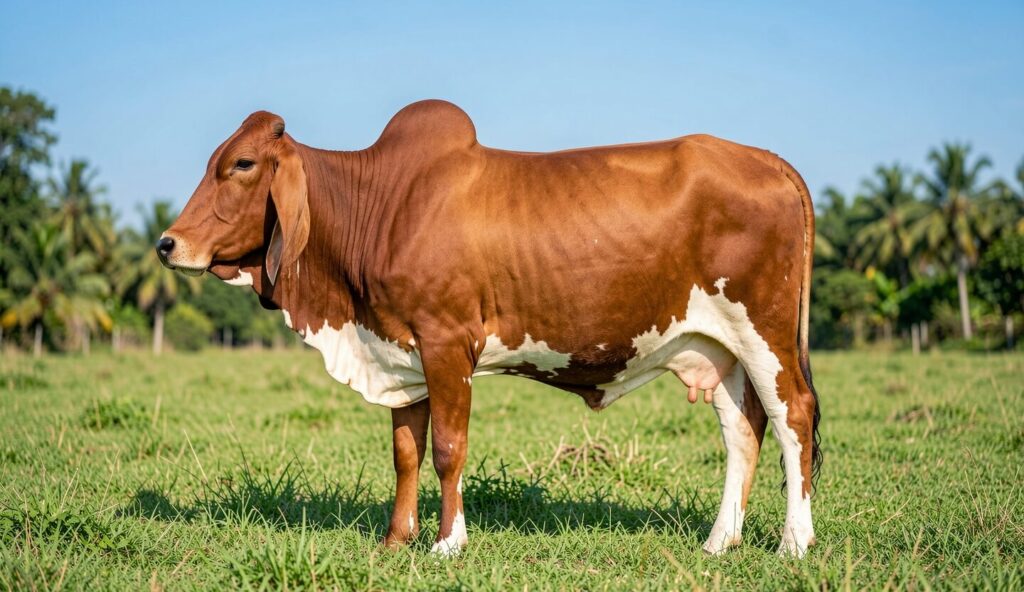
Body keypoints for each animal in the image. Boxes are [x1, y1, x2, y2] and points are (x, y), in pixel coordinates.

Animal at [157, 100, 822, 557]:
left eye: (241, 164)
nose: (168, 243)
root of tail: (764, 158)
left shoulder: (446, 342)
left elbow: (448, 448)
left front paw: (448, 542)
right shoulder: (400, 352)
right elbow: (405, 451)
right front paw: (397, 539)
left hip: (764, 333)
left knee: (793, 416)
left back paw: (793, 542)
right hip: (719, 347)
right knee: (744, 430)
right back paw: (719, 542)